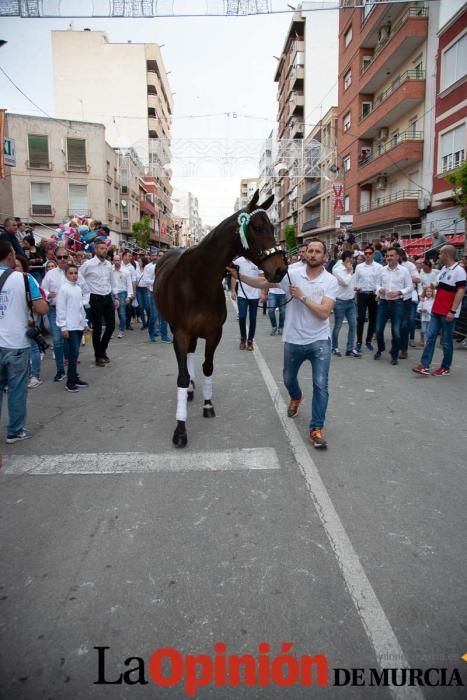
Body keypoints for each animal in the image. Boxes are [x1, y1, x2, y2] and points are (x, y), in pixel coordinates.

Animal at [155, 189, 288, 446]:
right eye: (258, 227)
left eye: (273, 227)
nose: (280, 269)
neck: (198, 280)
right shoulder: (181, 332)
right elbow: (181, 377)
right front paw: (180, 428)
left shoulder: (214, 332)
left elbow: (208, 367)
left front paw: (207, 404)